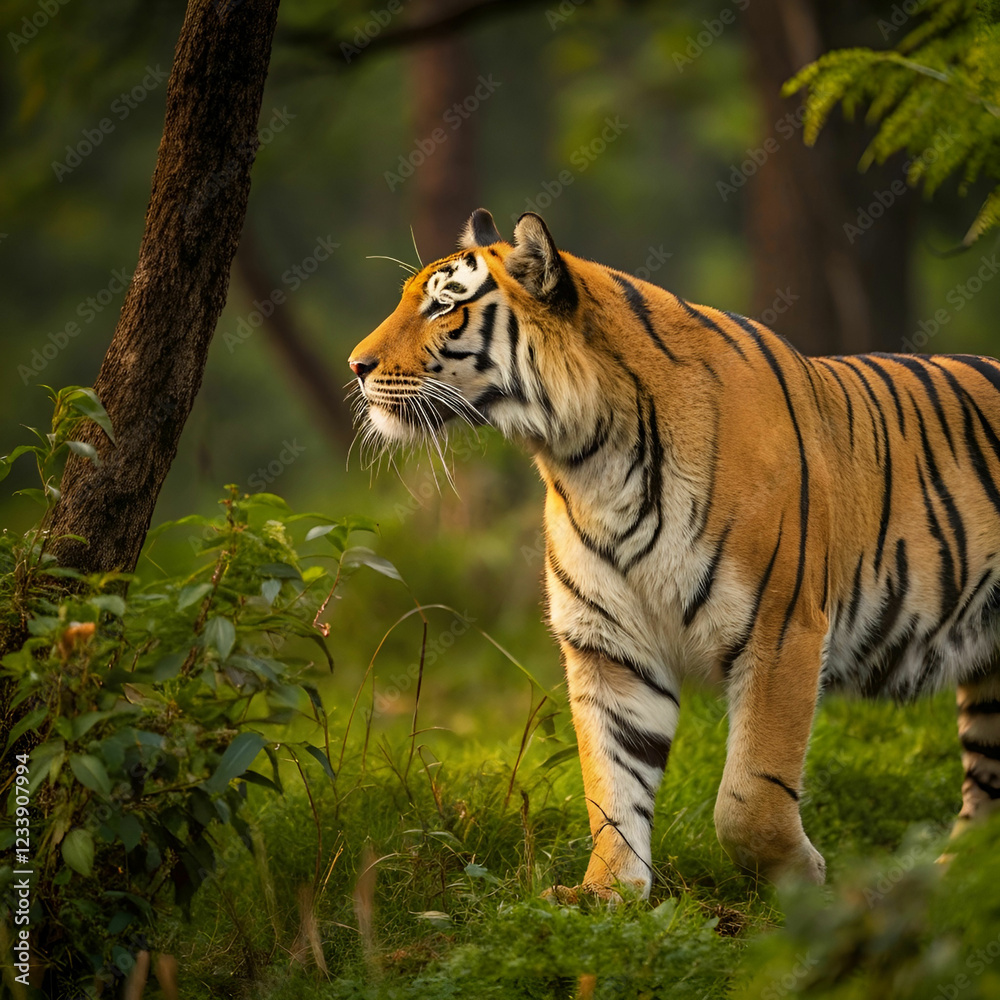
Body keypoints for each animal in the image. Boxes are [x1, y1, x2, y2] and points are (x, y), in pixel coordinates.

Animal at [348, 207, 1000, 900]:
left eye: (444, 305)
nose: (356, 365)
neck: (587, 460)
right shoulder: (608, 645)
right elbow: (612, 784)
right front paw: (606, 894)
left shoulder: (781, 630)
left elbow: (749, 797)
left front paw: (802, 881)